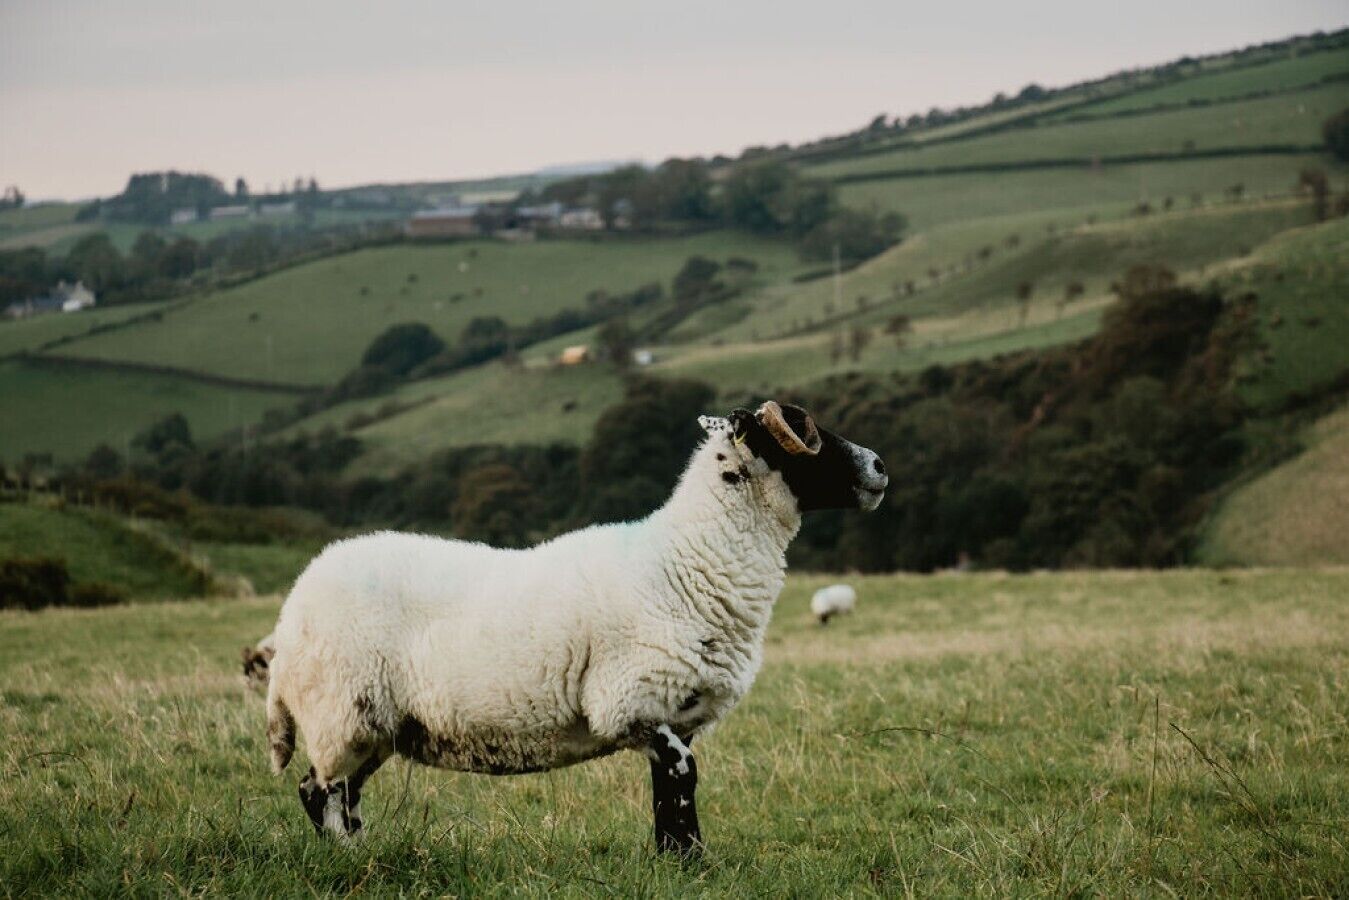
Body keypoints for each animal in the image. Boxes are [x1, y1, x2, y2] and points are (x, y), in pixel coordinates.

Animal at [258, 400, 887, 855]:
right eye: (802, 434)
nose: (880, 467)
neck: (686, 560)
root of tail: (292, 610)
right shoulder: (631, 701)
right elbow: (683, 781)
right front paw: (694, 864)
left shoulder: (670, 713)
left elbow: (667, 795)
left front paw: (673, 863)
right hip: (340, 711)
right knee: (320, 793)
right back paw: (348, 858)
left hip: (378, 725)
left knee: (336, 792)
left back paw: (361, 854)